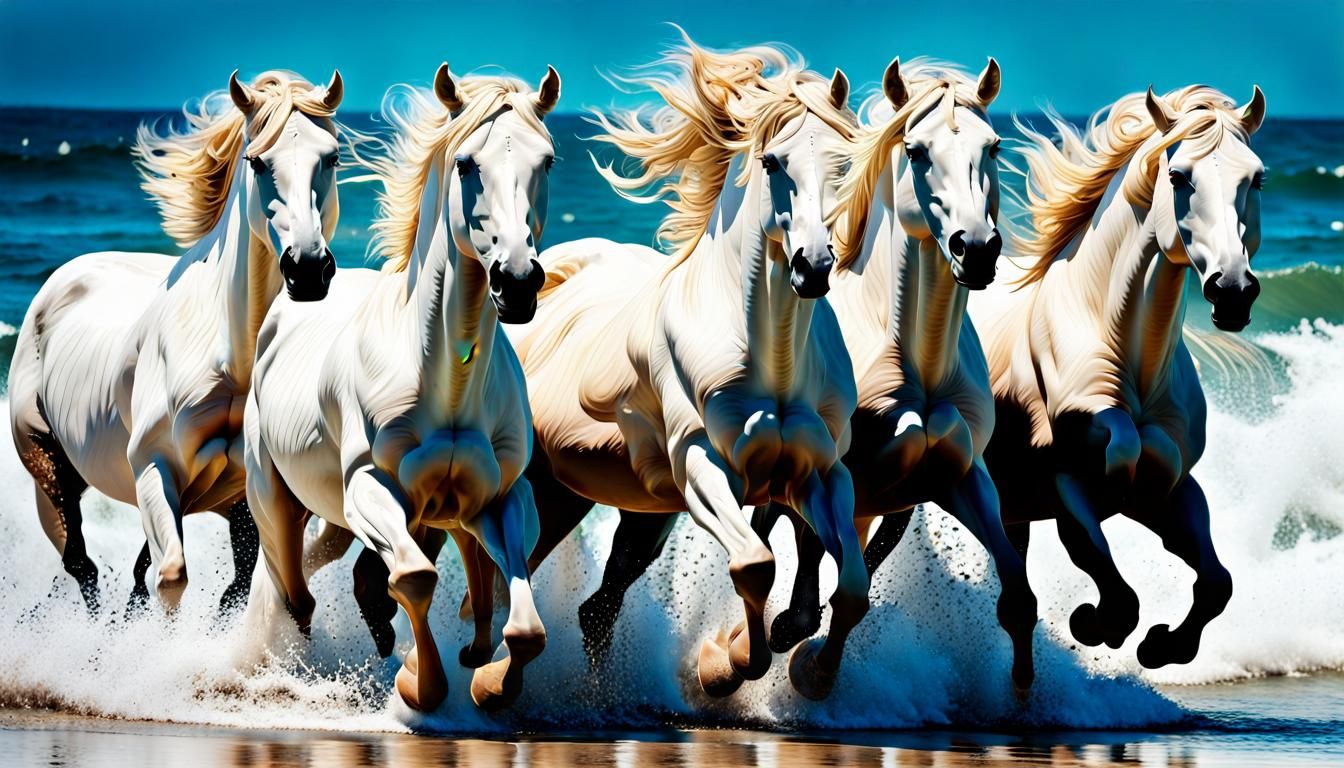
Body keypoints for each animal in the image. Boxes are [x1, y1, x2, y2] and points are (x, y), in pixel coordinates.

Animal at [7, 70, 345, 614]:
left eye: (331, 157)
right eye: (256, 160)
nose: (308, 268)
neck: (231, 359)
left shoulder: (247, 502)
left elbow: (236, 589)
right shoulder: (153, 466)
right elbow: (171, 577)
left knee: (129, 574)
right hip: (49, 468)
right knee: (83, 565)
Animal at [242, 63, 561, 713]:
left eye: (547, 160)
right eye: (466, 163)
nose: (516, 281)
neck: (445, 382)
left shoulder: (501, 499)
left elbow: (525, 628)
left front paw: (489, 684)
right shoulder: (371, 488)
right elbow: (412, 578)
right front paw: (421, 684)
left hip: (367, 519)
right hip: (280, 500)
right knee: (296, 594)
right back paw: (299, 677)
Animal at [498, 39, 865, 699]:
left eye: (841, 162)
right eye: (773, 161)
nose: (813, 265)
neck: (770, 357)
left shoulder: (820, 472)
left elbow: (848, 588)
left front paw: (808, 669)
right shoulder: (700, 464)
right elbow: (755, 563)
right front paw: (728, 665)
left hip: (604, 505)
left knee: (591, 607)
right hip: (542, 484)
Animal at [967, 84, 1267, 668]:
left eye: (1258, 178)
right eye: (1179, 176)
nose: (1232, 291)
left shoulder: (1171, 488)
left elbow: (1216, 582)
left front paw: (1161, 646)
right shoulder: (1066, 480)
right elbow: (1106, 571)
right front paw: (1092, 624)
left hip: (1009, 507)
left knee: (1017, 604)